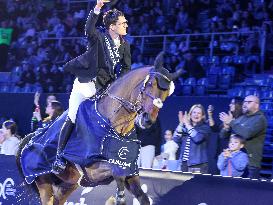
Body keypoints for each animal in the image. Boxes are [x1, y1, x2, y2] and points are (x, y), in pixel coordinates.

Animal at [16, 52, 174, 204]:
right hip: (43, 183)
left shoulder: (130, 171)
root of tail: (30, 139)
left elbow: (143, 197)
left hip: (68, 184)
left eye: (167, 93)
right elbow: (116, 172)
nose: (147, 120)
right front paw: (119, 197)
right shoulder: (94, 170)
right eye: (150, 84)